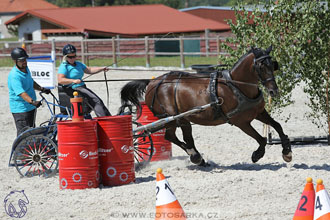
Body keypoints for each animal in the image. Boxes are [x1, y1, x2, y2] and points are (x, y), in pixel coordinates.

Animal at [118, 46, 292, 166]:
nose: (274, 90)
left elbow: (278, 126)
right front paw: (257, 155)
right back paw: (196, 157)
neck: (236, 85)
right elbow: (261, 139)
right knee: (175, 137)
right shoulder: (240, 121)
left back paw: (198, 158)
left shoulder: (259, 112)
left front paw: (287, 152)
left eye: (273, 65)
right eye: (261, 66)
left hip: (181, 120)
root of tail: (152, 82)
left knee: (179, 137)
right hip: (173, 118)